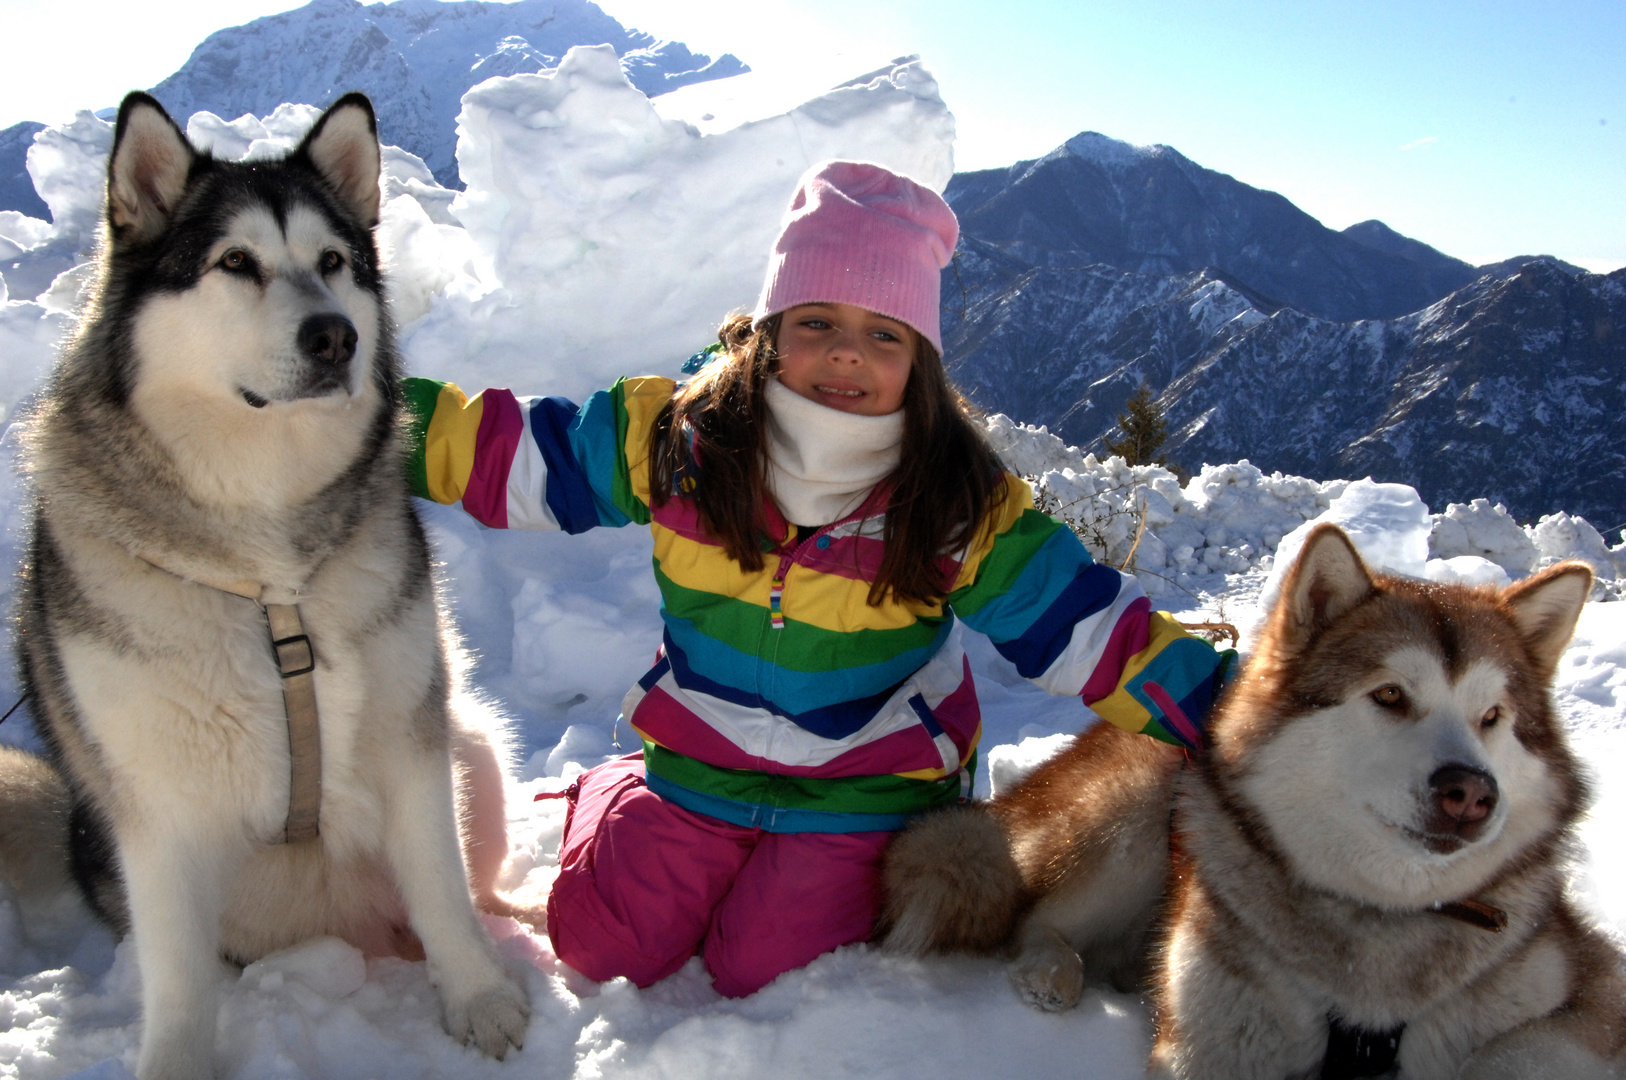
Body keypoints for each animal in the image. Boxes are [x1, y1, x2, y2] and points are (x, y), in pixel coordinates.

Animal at [884, 520, 1626, 1073]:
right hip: (1136, 819)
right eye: (1390, 694)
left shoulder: (1584, 990)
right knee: (1037, 922)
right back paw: (1055, 974)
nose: (1470, 793)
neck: (1380, 923)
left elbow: (1523, 1052)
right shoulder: (1211, 1037)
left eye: (1493, 717)